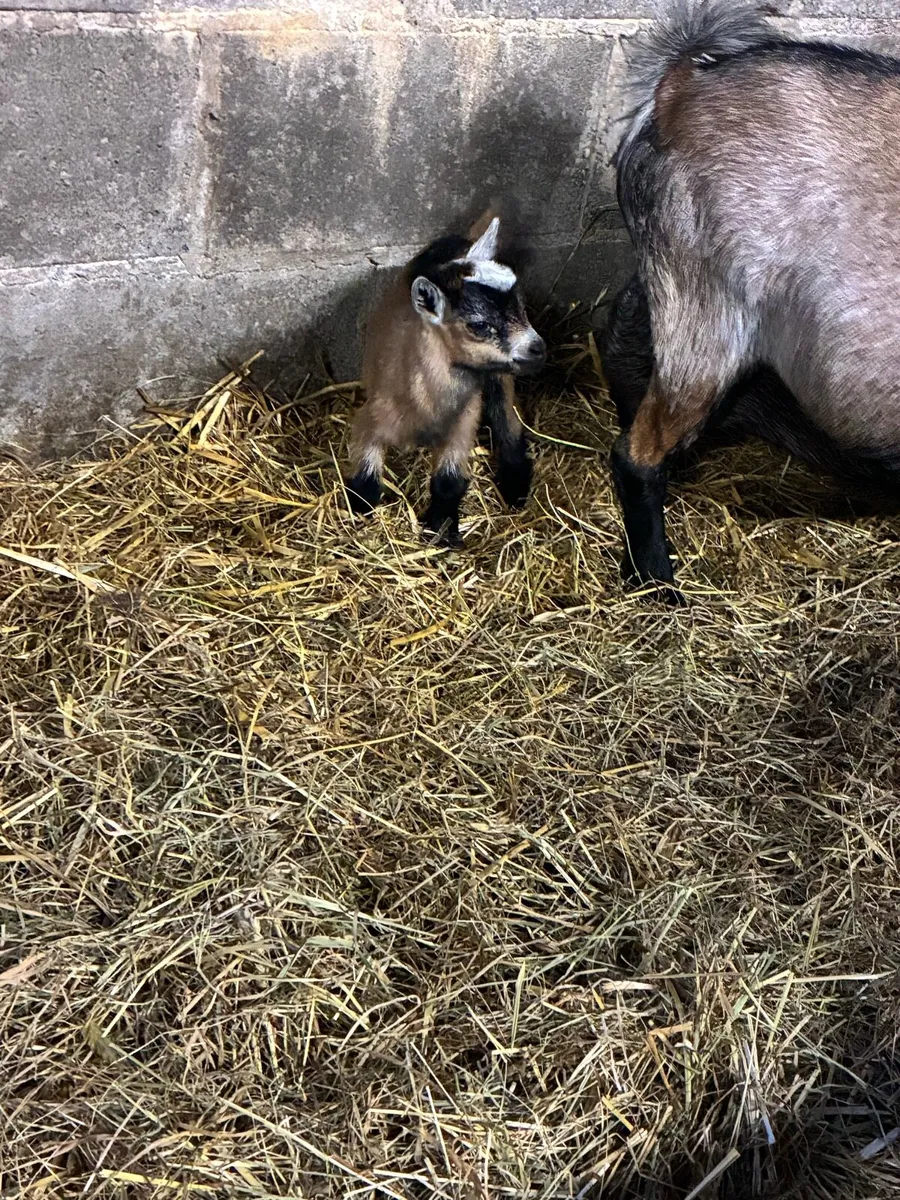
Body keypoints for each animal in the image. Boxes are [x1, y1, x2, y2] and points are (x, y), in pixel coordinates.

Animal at [346, 215, 546, 547]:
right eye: (479, 324)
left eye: (521, 305)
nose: (537, 348)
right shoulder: (371, 415)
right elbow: (365, 471)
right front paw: (360, 509)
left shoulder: (464, 421)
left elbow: (449, 480)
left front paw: (442, 529)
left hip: (499, 376)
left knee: (507, 417)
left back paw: (514, 483)